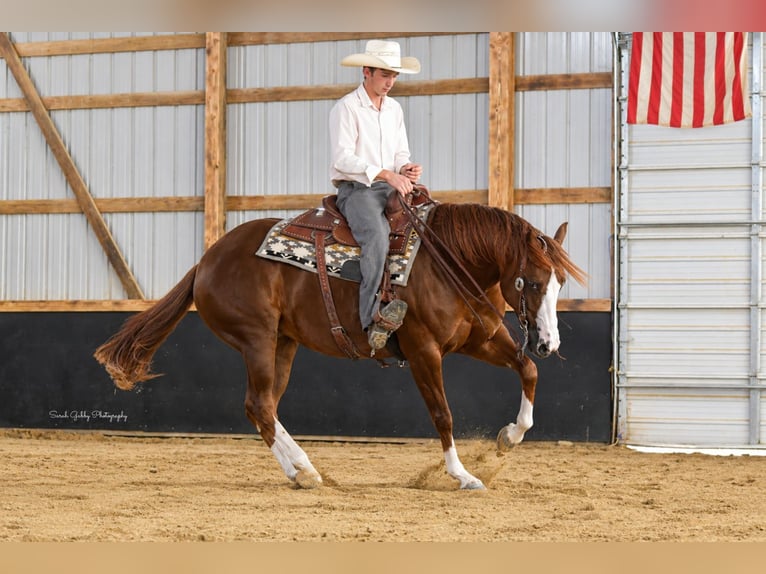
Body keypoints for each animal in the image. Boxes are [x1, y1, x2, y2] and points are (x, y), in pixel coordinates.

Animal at [94, 200, 586, 490]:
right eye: (532, 281)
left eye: (560, 282)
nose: (547, 342)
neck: (448, 260)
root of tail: (206, 261)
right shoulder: (424, 351)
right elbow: (443, 414)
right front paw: (462, 474)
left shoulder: (481, 339)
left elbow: (528, 371)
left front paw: (508, 438)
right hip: (257, 339)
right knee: (258, 405)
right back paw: (306, 470)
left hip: (283, 343)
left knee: (265, 407)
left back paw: (302, 471)